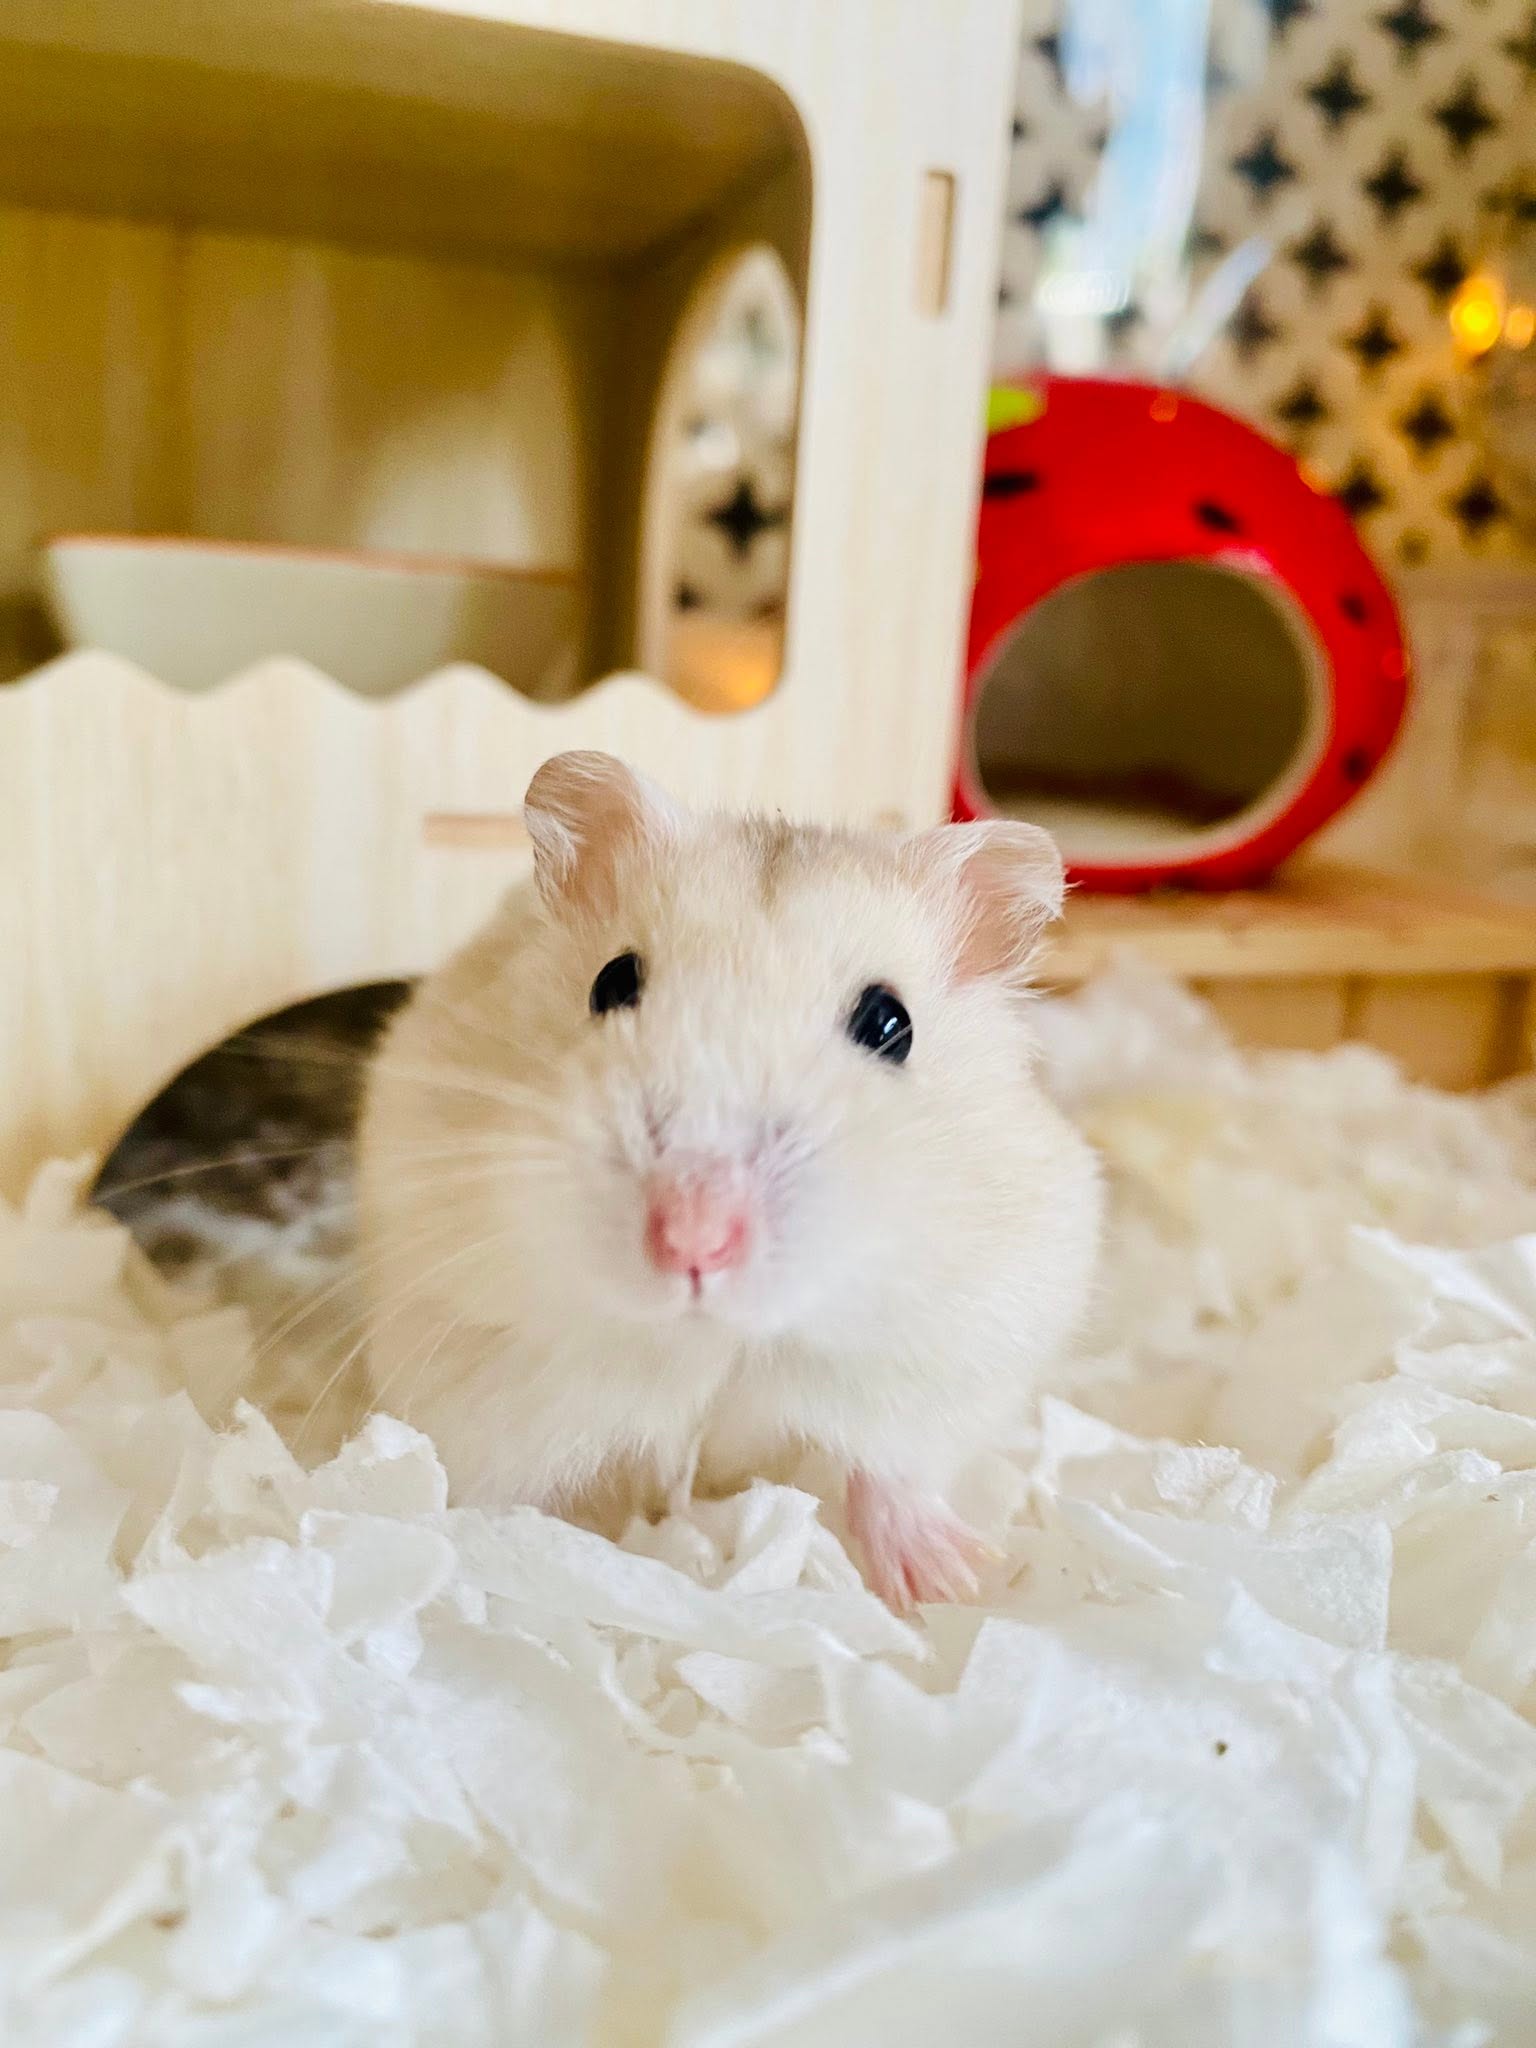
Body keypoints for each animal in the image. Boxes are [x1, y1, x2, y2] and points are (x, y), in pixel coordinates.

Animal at [356, 751, 1101, 1608]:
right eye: (612, 983)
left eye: (891, 1025)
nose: (695, 1239)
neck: (720, 1340)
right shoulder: (480, 1365)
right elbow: (508, 1483)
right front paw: (495, 1558)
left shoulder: (956, 1347)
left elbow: (890, 1468)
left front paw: (951, 1583)